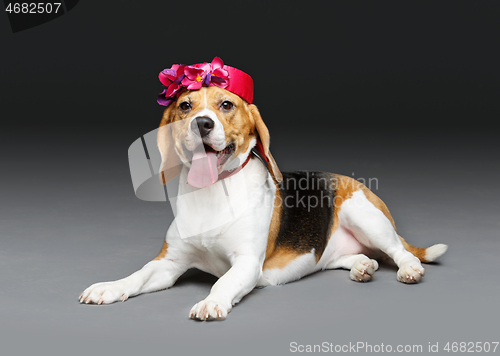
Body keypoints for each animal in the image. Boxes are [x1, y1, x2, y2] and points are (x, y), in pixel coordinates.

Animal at [79, 58, 450, 320]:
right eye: (185, 106)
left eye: (226, 105)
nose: (202, 123)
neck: (212, 192)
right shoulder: (169, 263)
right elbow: (138, 276)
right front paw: (109, 288)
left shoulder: (245, 263)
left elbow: (223, 281)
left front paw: (211, 301)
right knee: (353, 256)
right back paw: (362, 265)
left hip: (365, 216)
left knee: (399, 251)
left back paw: (408, 268)